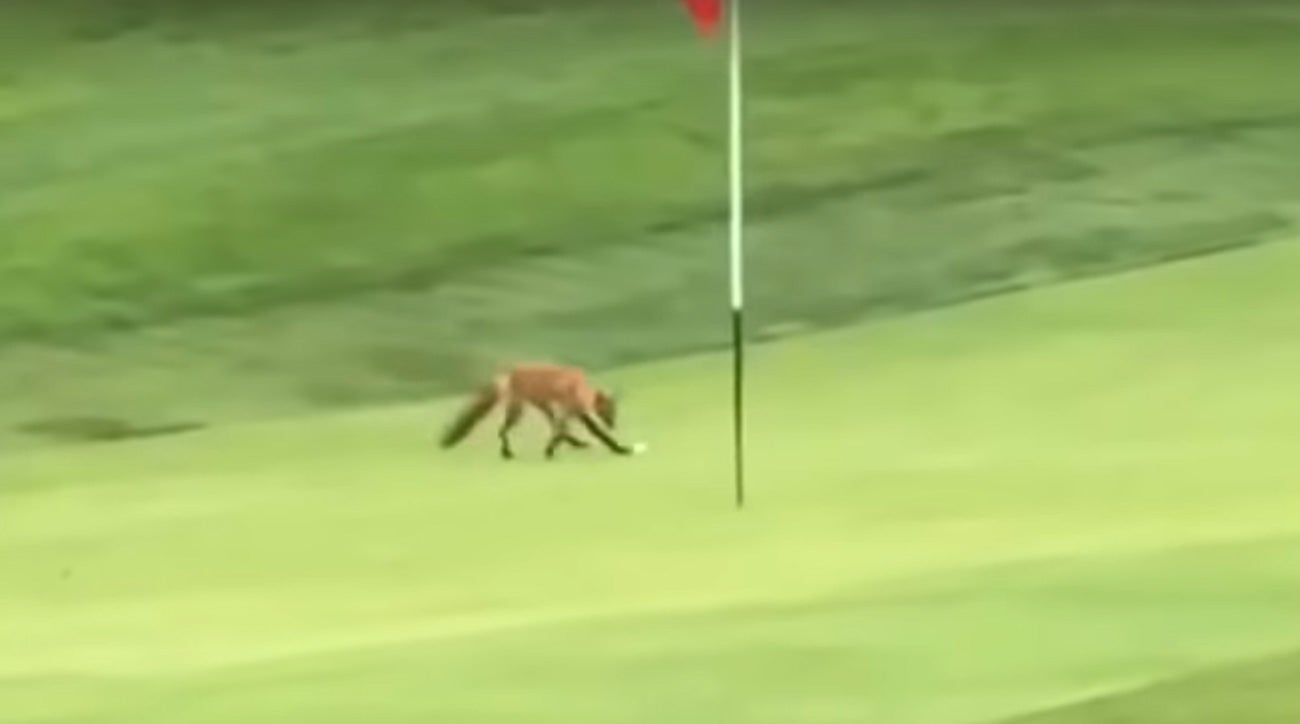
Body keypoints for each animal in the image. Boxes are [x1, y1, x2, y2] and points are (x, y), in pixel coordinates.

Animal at [438, 362, 647, 459]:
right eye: (607, 412)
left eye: (614, 412)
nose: (613, 425)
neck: (578, 387)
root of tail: (509, 370)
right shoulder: (570, 411)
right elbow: (577, 432)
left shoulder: (576, 413)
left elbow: (595, 434)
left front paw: (619, 449)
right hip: (518, 411)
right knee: (502, 431)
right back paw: (507, 454)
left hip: (542, 406)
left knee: (552, 426)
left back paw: (575, 444)